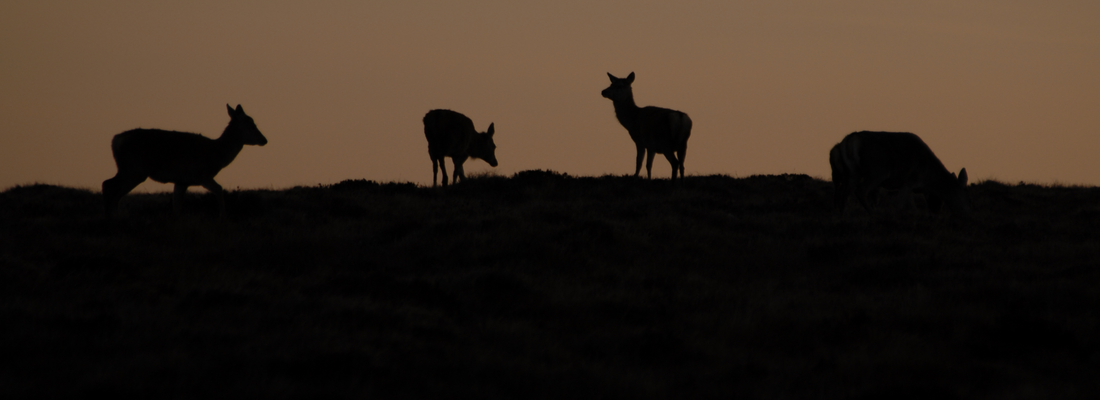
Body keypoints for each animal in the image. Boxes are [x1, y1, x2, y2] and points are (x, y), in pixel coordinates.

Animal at [102, 103, 267, 215]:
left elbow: (177, 207)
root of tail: (115, 140)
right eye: (251, 124)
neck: (217, 153)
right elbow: (220, 190)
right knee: (109, 186)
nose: (264, 139)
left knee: (110, 187)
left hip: (129, 169)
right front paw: (223, 217)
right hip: (134, 169)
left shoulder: (182, 181)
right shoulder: (201, 175)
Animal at [827, 130, 968, 218]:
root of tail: (849, 141)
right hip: (877, 171)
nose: (965, 213)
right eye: (961, 194)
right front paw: (897, 215)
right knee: (860, 190)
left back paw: (843, 214)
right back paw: (874, 214)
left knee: (845, 193)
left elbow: (911, 203)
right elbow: (900, 204)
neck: (928, 176)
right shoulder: (909, 180)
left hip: (852, 173)